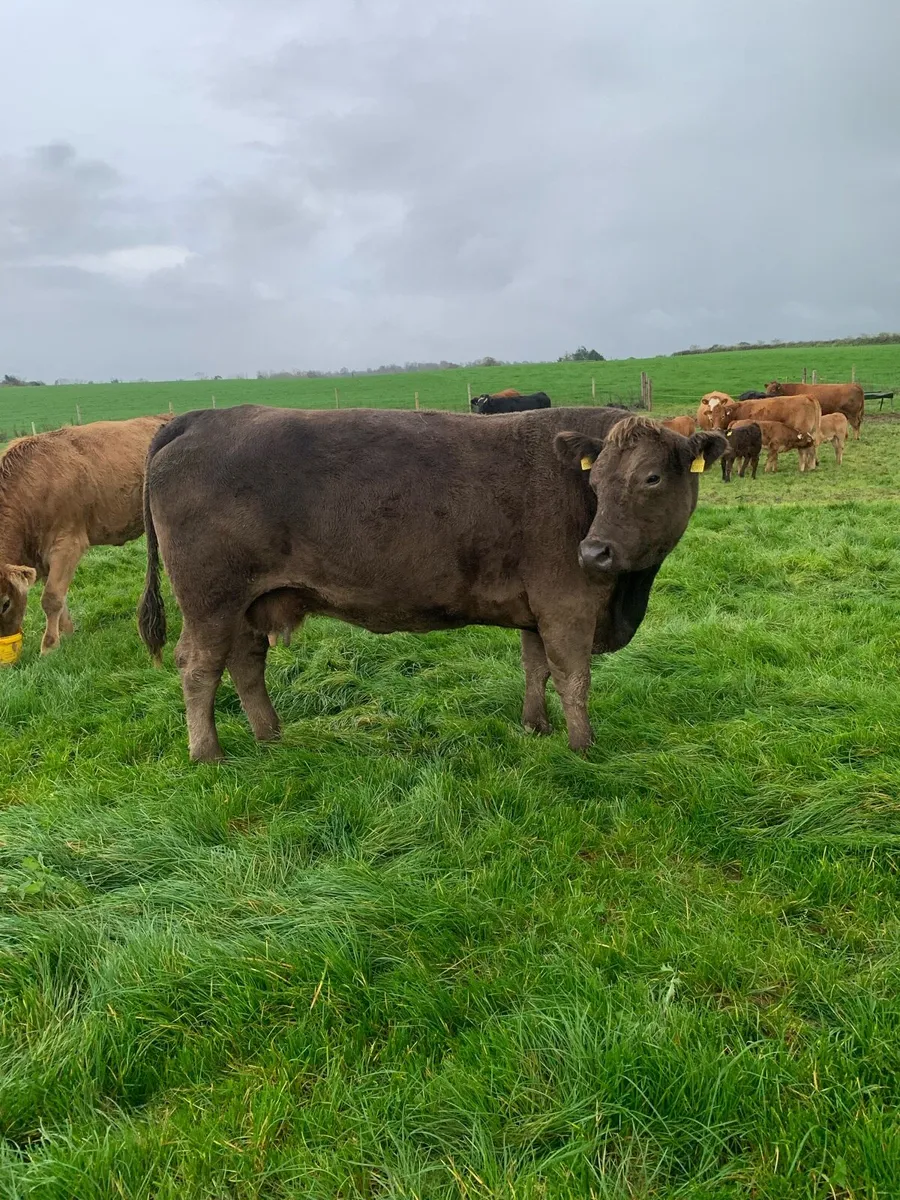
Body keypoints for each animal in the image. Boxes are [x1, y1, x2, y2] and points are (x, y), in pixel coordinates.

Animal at [0, 415, 171, 655]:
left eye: (5, 603)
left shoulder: (68, 543)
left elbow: (51, 598)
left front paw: (48, 647)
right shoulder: (40, 558)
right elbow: (59, 597)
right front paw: (66, 635)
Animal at [137, 405, 726, 762]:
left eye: (651, 478)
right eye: (597, 481)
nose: (593, 551)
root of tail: (202, 418)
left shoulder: (535, 609)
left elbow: (534, 668)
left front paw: (534, 727)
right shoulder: (567, 606)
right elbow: (572, 678)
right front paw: (582, 747)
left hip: (249, 601)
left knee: (245, 663)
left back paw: (271, 736)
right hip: (210, 600)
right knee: (199, 666)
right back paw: (208, 753)